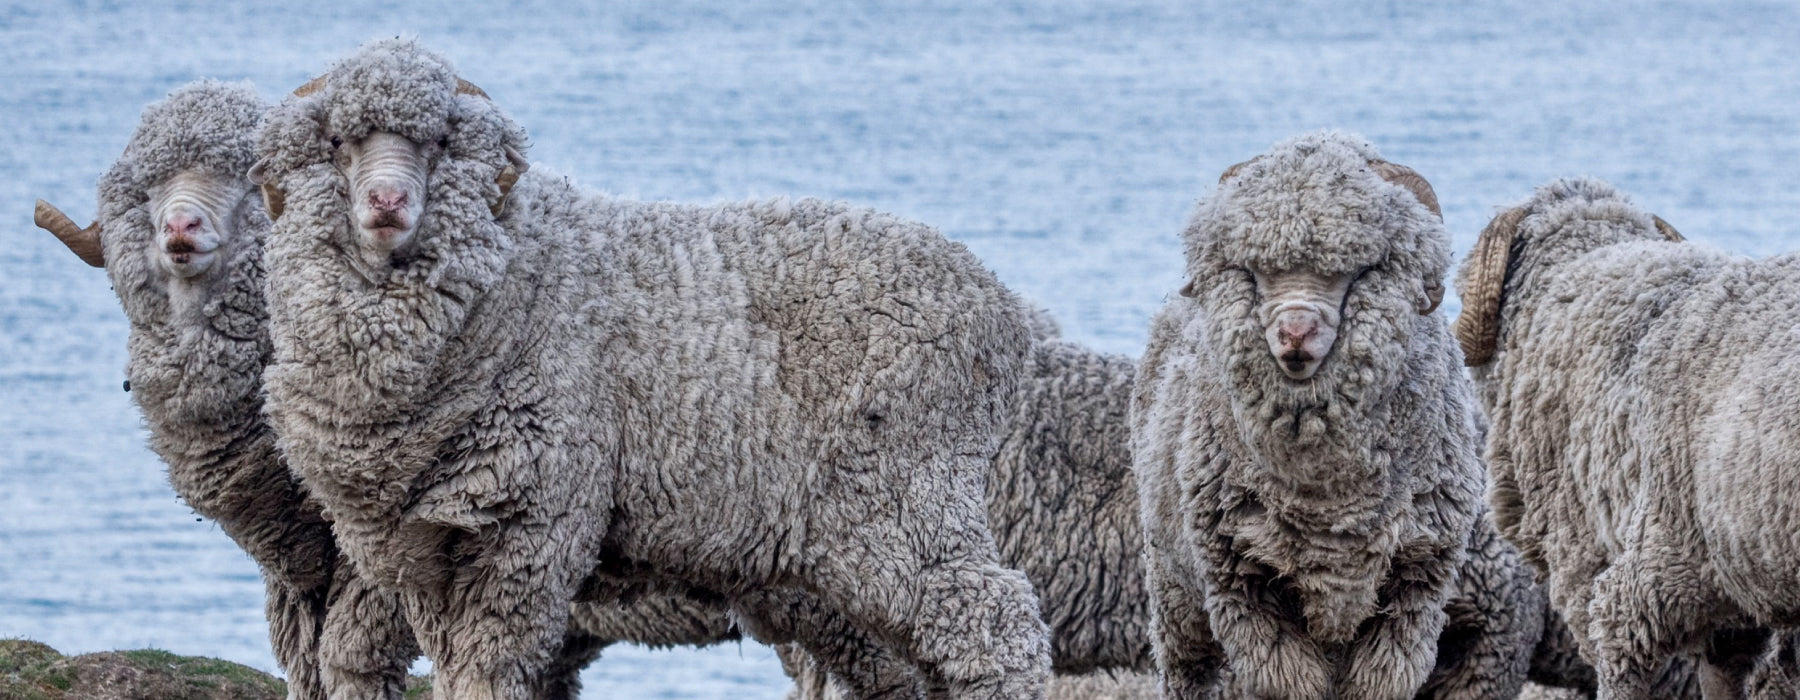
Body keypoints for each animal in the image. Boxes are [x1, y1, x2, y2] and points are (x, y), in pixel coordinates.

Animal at [246, 39, 1051, 698]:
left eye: (439, 140)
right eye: (340, 142)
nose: (387, 202)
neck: (517, 268)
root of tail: (1003, 305)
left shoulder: (527, 528)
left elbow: (488, 671)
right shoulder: (422, 550)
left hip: (902, 501)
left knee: (996, 623)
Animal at [1130, 132, 1497, 698]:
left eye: (1354, 270)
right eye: (1256, 271)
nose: (1295, 332)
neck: (1329, 505)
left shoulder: (1412, 587)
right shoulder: (1245, 586)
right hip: (1174, 587)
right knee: (1187, 671)